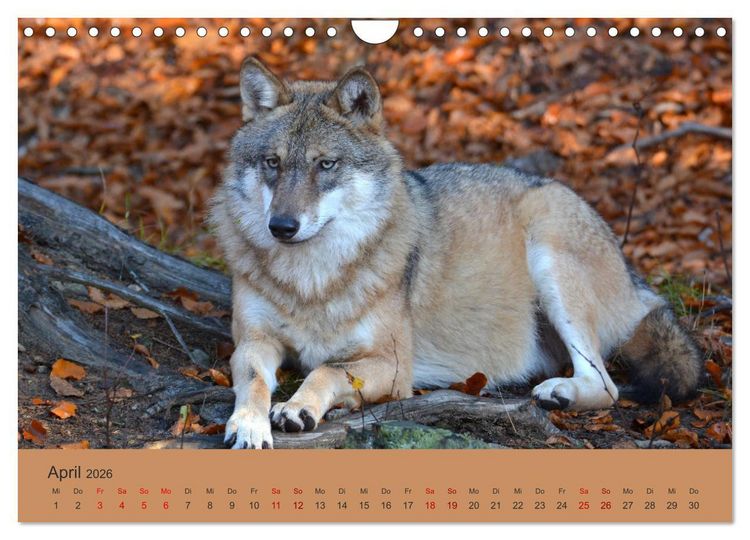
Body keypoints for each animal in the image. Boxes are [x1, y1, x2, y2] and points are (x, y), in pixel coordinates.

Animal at [209, 57, 703, 449]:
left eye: (325, 164)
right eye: (272, 163)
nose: (281, 227)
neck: (312, 280)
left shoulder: (394, 366)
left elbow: (325, 370)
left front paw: (296, 409)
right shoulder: (253, 342)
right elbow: (253, 383)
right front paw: (249, 424)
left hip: (550, 253)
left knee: (607, 385)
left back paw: (559, 393)